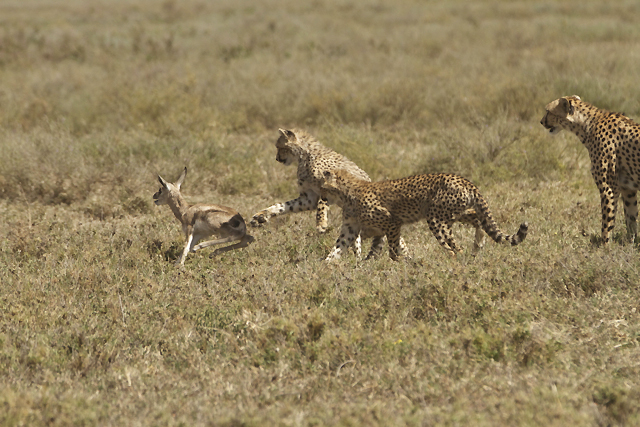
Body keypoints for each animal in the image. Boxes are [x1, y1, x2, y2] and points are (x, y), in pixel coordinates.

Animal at [322, 170, 528, 260]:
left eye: (322, 184)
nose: (321, 197)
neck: (345, 194)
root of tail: (464, 180)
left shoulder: (392, 222)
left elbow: (394, 249)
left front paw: (399, 263)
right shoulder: (351, 229)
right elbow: (337, 249)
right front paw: (327, 268)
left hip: (436, 219)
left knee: (455, 248)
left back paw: (458, 259)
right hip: (453, 212)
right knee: (477, 218)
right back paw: (478, 244)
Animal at [540, 96, 640, 244]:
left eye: (548, 111)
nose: (541, 121)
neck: (588, 124)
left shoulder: (609, 188)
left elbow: (607, 222)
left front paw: (604, 246)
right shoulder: (628, 188)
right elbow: (631, 219)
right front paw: (630, 243)